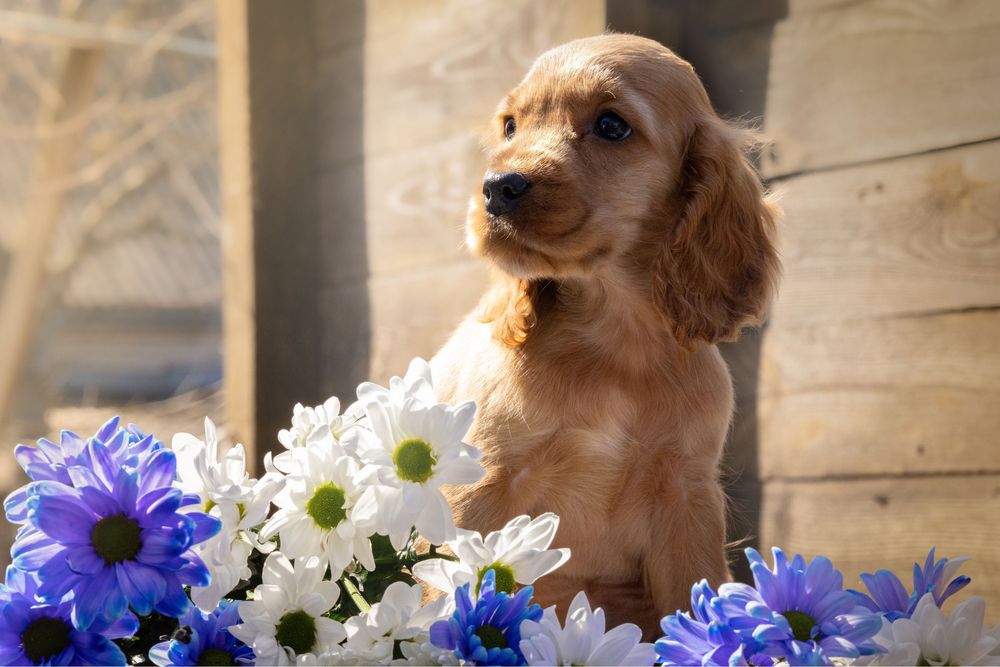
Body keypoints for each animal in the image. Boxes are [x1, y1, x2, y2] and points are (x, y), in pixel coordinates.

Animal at [430, 32, 780, 636]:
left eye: (612, 126)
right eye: (510, 126)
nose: (496, 188)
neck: (614, 340)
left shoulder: (687, 496)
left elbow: (693, 596)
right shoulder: (483, 483)